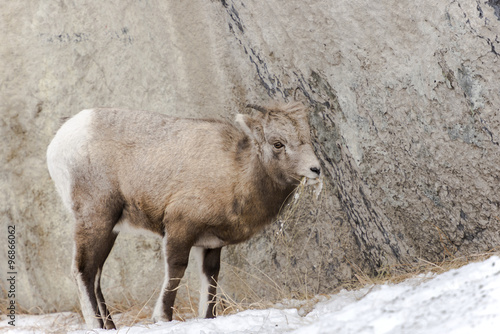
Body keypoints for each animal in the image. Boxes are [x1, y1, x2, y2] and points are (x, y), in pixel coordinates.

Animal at [47, 102, 320, 328]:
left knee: (95, 275)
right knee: (83, 271)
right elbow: (176, 270)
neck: (235, 173)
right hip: (96, 219)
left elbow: (211, 279)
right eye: (278, 143)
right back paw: (97, 326)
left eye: (308, 138)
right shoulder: (179, 229)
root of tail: (59, 140)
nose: (315, 169)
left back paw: (110, 327)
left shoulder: (210, 245)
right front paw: (162, 318)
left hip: (109, 230)